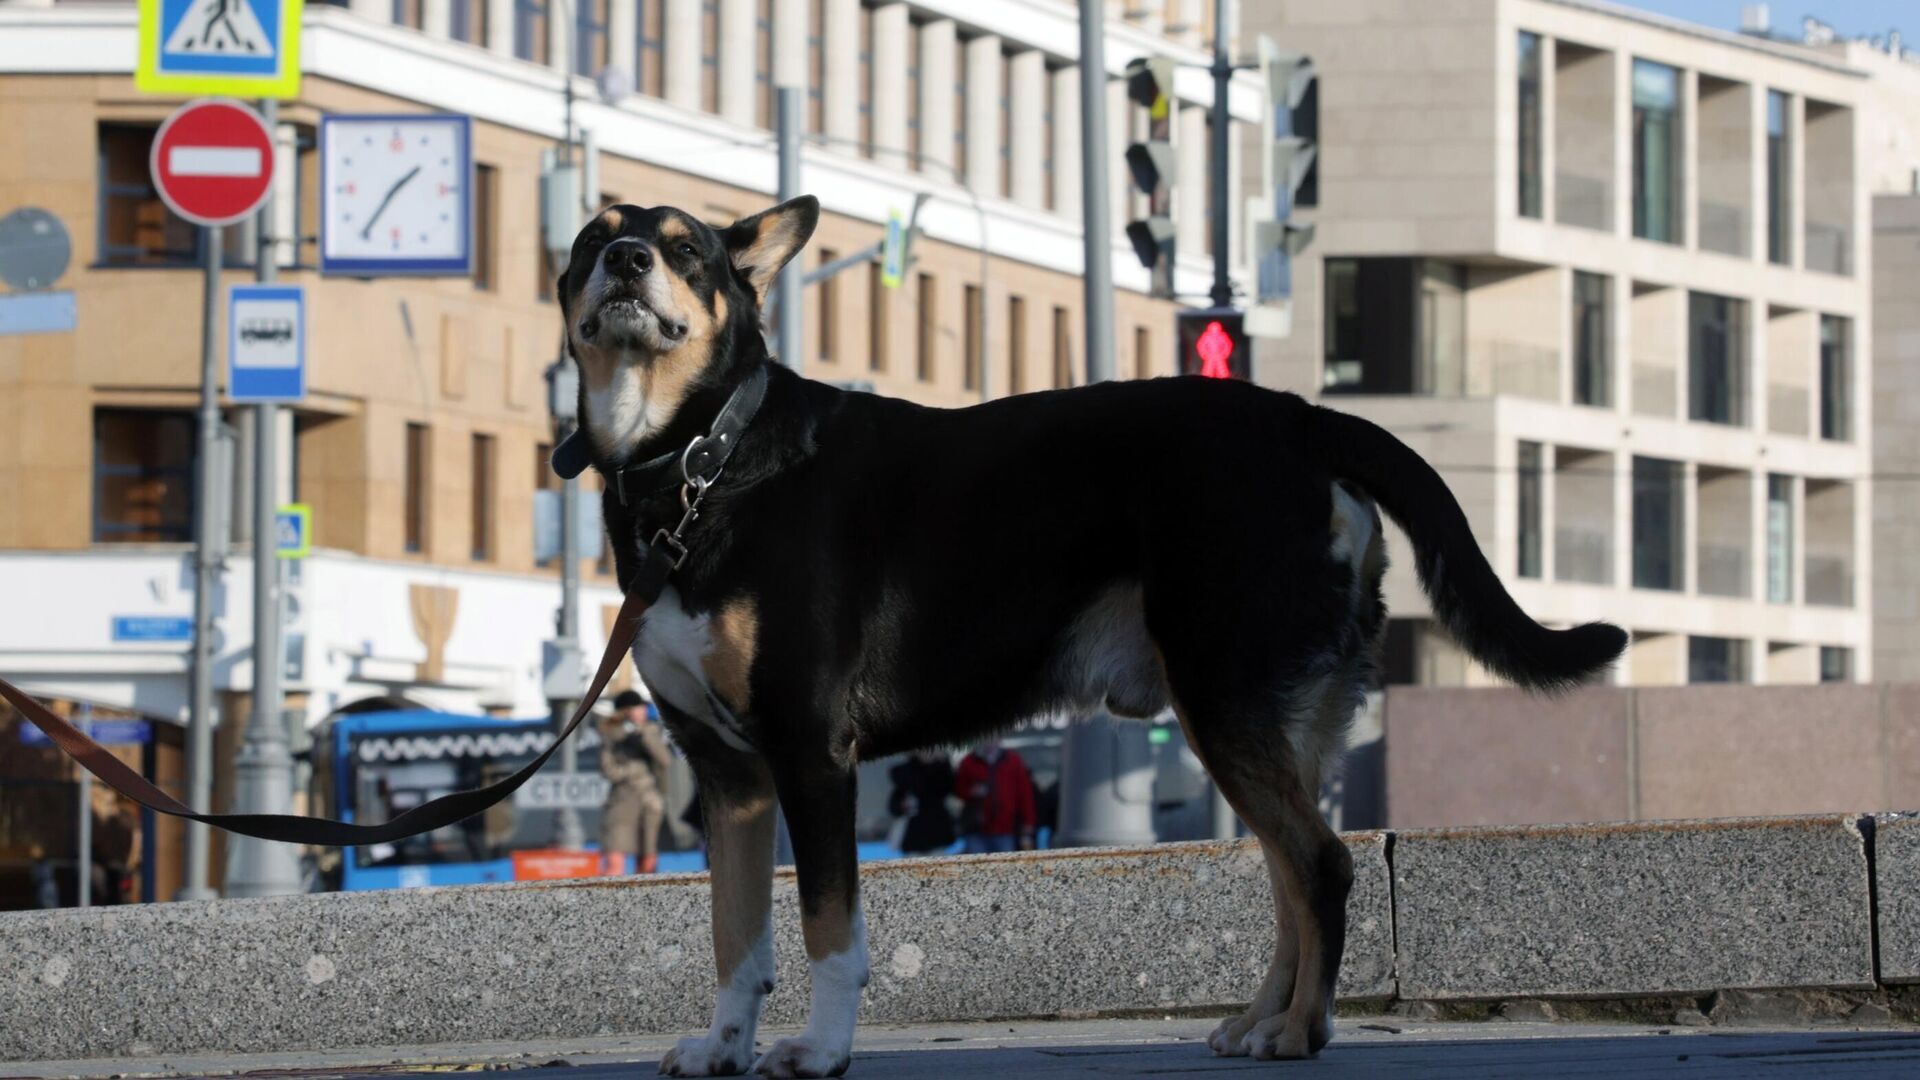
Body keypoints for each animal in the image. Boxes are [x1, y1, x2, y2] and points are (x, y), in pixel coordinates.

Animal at [552, 193, 1620, 1068]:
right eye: (590, 241)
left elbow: (826, 929)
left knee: (1320, 863)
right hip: (1273, 718)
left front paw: (818, 1050)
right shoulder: (728, 776)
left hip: (1225, 698)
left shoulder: (812, 756)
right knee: (1292, 873)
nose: (629, 263)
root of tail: (1304, 419)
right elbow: (734, 935)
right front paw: (724, 1046)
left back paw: (1302, 1034)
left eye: (685, 249)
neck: (700, 462)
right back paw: (1267, 1020)